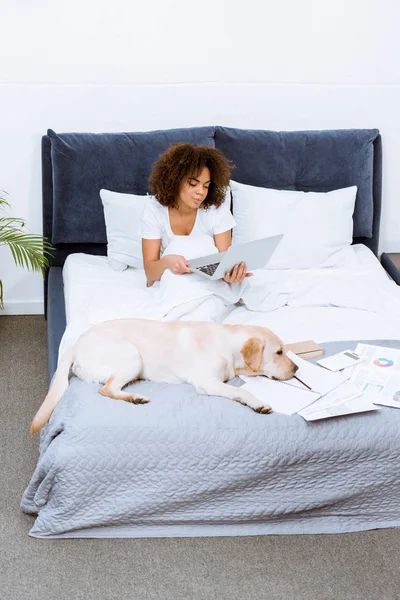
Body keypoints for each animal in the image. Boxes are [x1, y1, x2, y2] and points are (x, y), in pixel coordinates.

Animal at [31, 318, 298, 436]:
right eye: (278, 352)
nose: (296, 369)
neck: (228, 345)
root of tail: (75, 344)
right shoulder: (206, 382)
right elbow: (240, 389)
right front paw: (257, 402)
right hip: (132, 356)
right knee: (106, 389)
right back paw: (135, 397)